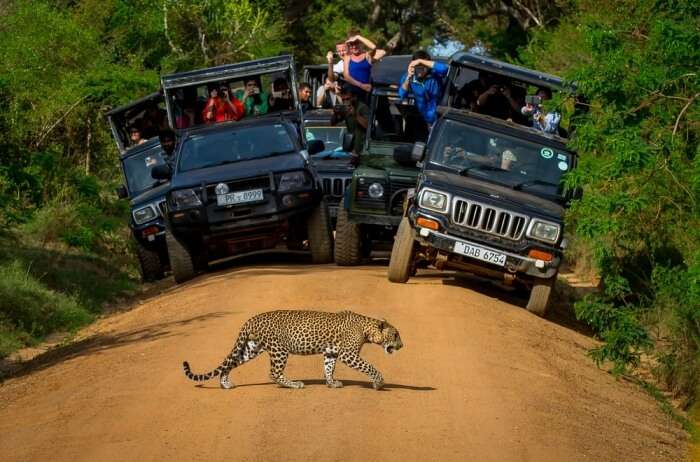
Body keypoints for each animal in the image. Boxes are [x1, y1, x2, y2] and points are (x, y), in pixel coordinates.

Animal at [182, 310, 404, 390]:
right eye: (395, 335)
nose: (402, 346)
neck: (367, 329)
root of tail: (251, 319)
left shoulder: (331, 352)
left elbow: (328, 368)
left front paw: (331, 383)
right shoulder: (348, 354)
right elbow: (370, 367)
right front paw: (379, 383)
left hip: (251, 348)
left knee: (231, 362)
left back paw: (225, 383)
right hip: (279, 350)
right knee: (273, 373)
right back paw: (294, 384)